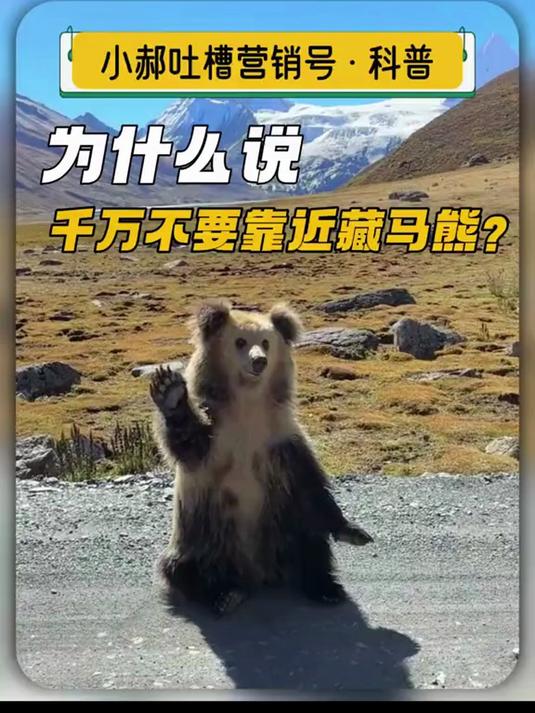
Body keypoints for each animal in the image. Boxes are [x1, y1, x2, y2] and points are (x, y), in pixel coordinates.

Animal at [151, 299, 373, 616]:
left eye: (266, 342)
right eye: (240, 341)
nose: (259, 361)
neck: (247, 407)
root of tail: (259, 573)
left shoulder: (280, 438)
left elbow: (311, 483)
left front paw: (352, 531)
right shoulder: (215, 439)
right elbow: (185, 442)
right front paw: (169, 390)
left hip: (280, 521)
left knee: (311, 541)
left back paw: (325, 587)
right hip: (203, 536)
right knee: (182, 569)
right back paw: (224, 594)